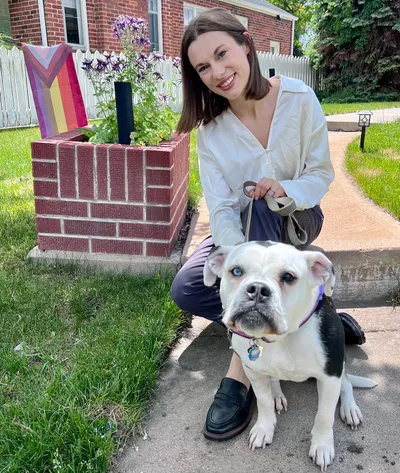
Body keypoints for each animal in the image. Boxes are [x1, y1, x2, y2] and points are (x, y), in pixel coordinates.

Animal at [205, 242, 376, 470]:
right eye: (237, 271)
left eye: (288, 277)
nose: (257, 289)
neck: (280, 338)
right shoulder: (253, 372)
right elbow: (263, 401)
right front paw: (264, 428)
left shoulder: (330, 375)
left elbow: (324, 415)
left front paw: (322, 446)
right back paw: (276, 394)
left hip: (339, 364)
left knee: (346, 383)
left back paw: (350, 409)